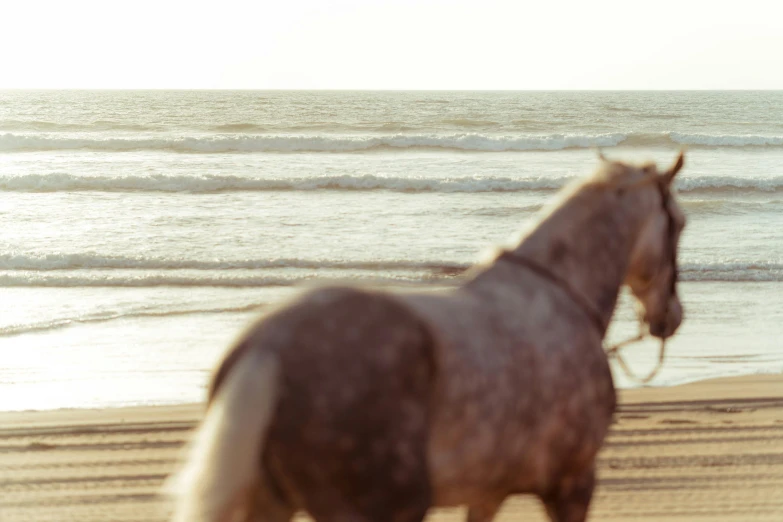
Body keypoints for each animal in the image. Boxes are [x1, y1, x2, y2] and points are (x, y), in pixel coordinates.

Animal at [165, 151, 688, 520]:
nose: (671, 317)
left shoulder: (487, 494)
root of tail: (267, 344)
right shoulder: (573, 483)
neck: (556, 295)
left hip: (272, 504)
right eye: (680, 223)